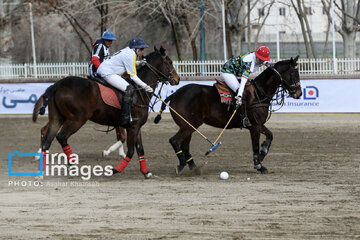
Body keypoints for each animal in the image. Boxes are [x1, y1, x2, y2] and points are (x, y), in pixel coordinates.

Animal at [33, 46, 179, 178]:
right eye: (170, 62)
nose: (177, 79)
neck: (140, 91)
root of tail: (57, 85)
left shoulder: (136, 127)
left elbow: (140, 149)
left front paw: (146, 172)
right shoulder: (133, 127)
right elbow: (131, 151)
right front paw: (115, 170)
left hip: (57, 119)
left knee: (47, 140)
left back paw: (41, 172)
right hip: (77, 120)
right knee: (61, 137)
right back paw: (73, 163)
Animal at [155, 56, 300, 173]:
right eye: (294, 73)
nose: (299, 93)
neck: (260, 93)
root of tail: (174, 94)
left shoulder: (258, 124)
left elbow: (270, 135)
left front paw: (262, 154)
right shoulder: (254, 126)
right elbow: (255, 146)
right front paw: (259, 166)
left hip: (188, 126)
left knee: (184, 145)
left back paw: (193, 168)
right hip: (189, 125)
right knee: (174, 141)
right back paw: (181, 165)